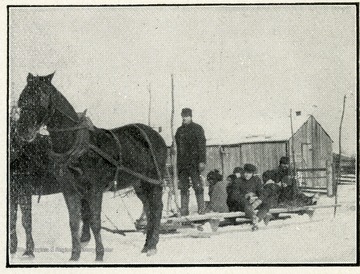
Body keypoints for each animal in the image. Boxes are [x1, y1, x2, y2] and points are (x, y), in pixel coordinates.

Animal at [9, 119, 92, 256]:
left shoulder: (24, 191)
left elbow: (26, 221)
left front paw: (29, 250)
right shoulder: (13, 192)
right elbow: (12, 219)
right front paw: (12, 248)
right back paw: (84, 237)